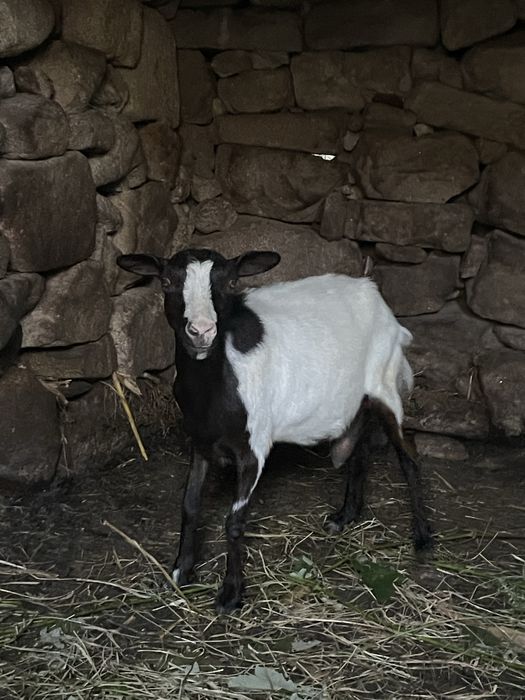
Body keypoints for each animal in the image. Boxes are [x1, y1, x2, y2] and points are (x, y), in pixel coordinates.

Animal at [117, 248, 433, 613]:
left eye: (232, 282)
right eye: (167, 281)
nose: (201, 330)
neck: (214, 389)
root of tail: (371, 290)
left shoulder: (253, 447)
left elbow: (234, 522)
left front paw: (230, 594)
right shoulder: (201, 442)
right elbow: (189, 505)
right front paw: (181, 571)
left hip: (385, 384)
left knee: (408, 455)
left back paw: (423, 537)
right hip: (357, 400)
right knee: (360, 448)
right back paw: (346, 515)